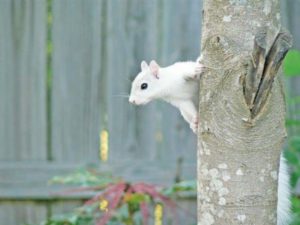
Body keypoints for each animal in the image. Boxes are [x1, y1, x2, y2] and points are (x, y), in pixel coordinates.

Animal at [128, 58, 290, 225]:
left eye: (144, 86)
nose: (132, 101)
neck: (169, 87)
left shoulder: (180, 71)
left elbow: (188, 69)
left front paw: (195, 70)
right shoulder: (182, 101)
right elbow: (188, 110)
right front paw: (195, 121)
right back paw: (194, 125)